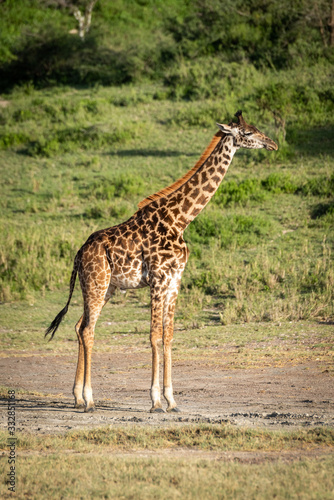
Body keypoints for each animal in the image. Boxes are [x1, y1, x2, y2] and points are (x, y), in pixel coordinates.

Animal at [45, 112, 278, 414]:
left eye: (256, 128)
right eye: (248, 132)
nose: (272, 144)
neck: (180, 219)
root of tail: (78, 254)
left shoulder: (175, 280)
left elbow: (169, 336)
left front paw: (172, 400)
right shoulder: (157, 278)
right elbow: (154, 335)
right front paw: (156, 401)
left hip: (106, 288)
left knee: (79, 326)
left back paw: (76, 398)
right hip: (96, 284)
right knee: (87, 330)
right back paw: (89, 400)